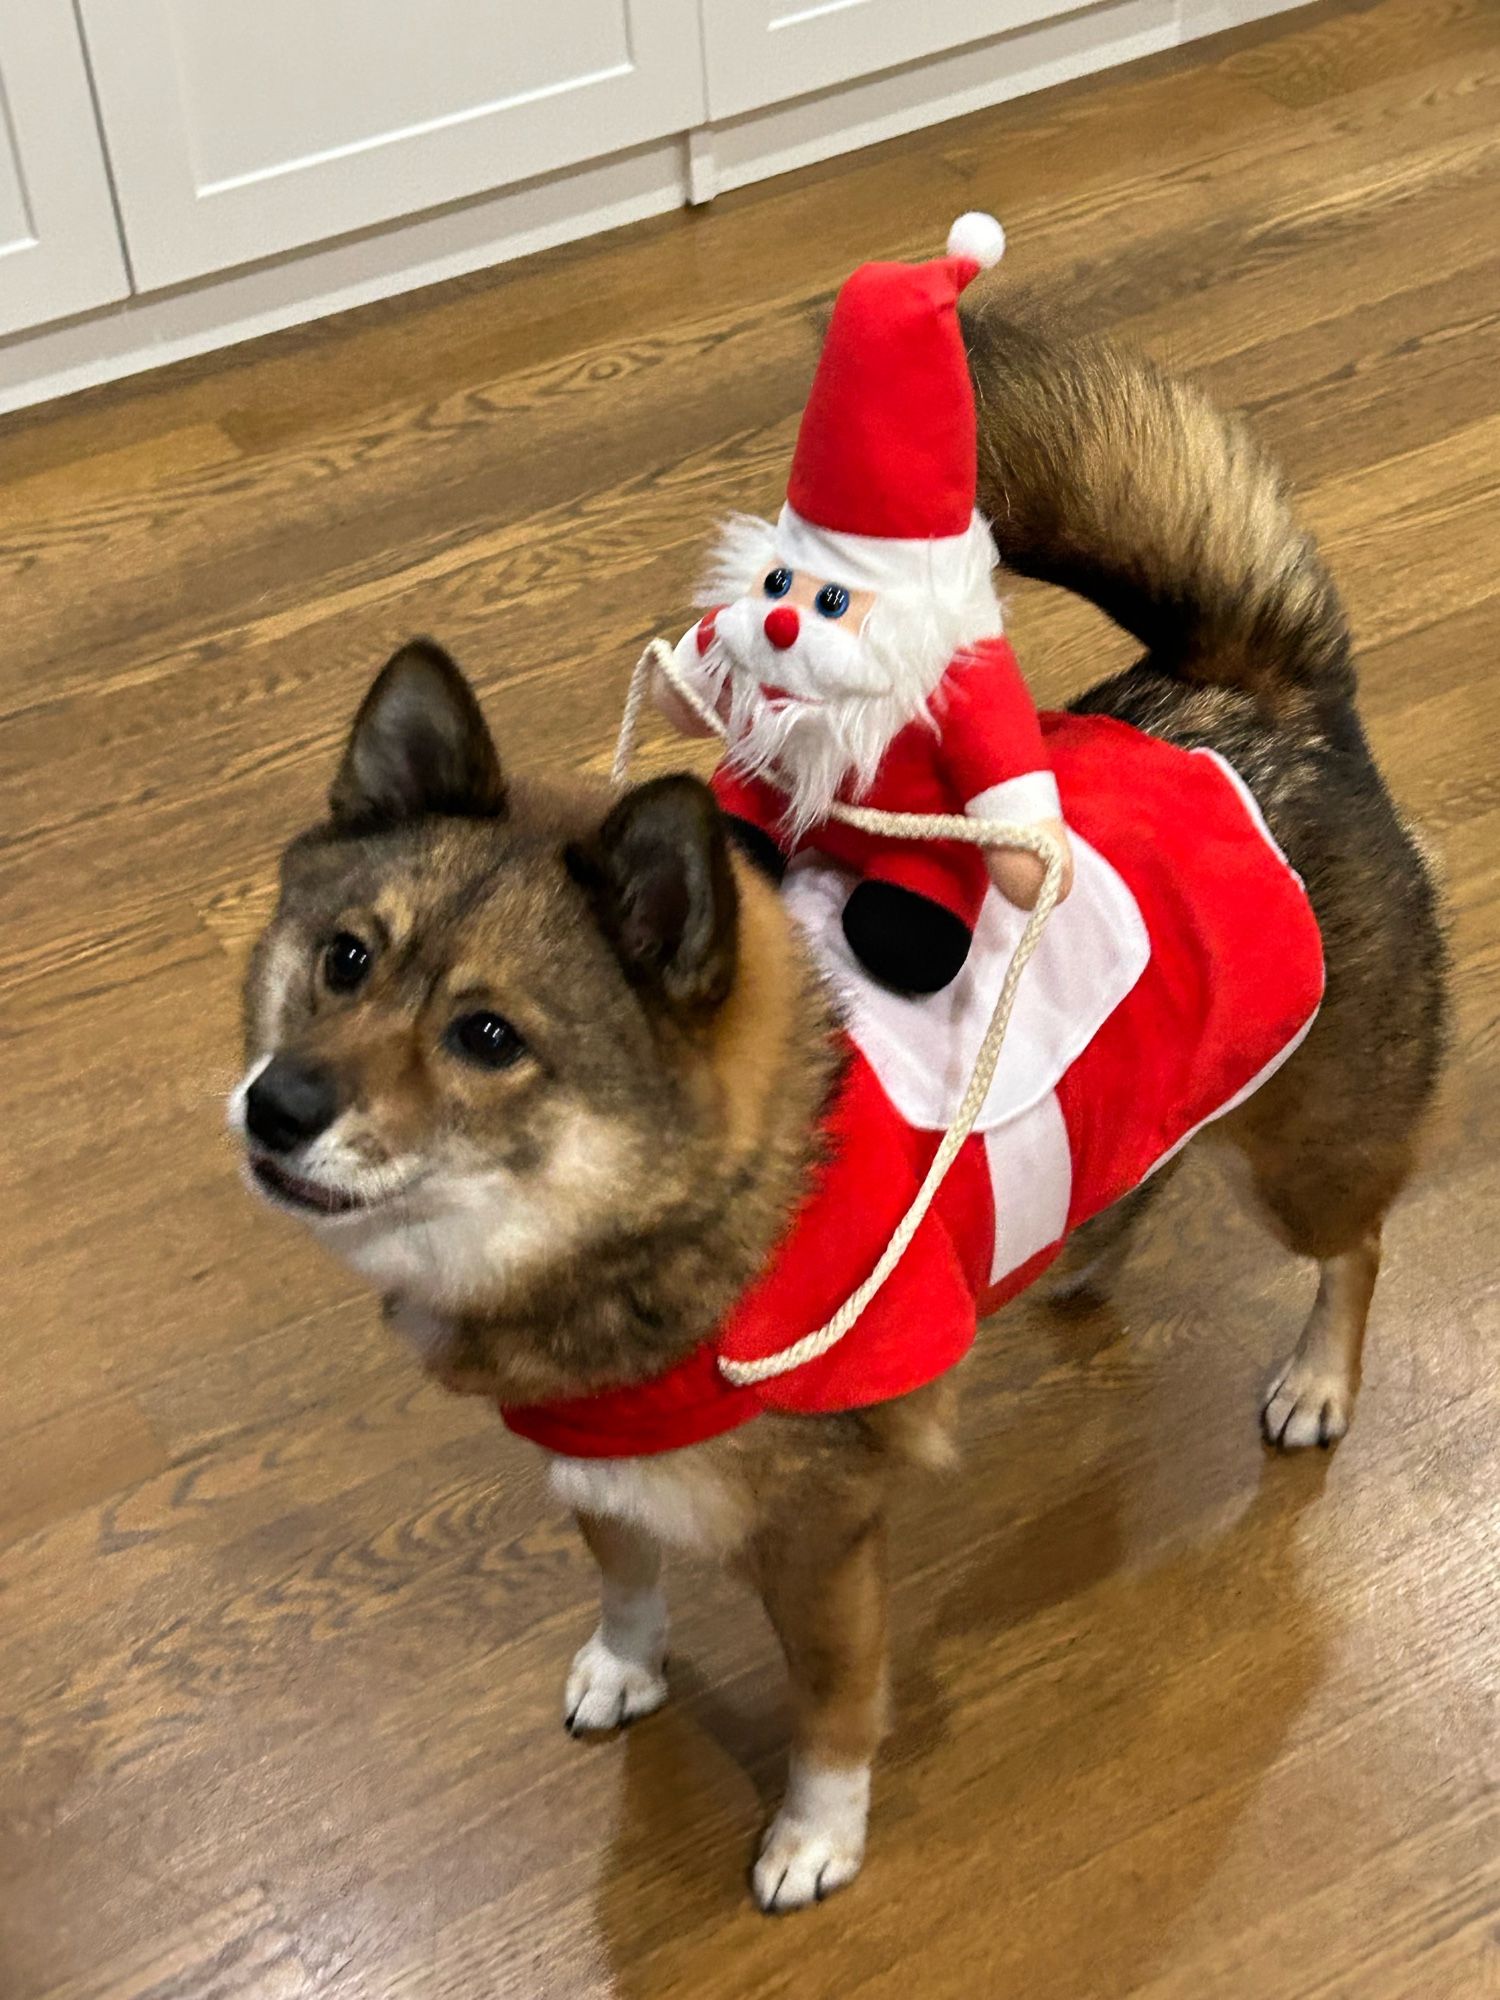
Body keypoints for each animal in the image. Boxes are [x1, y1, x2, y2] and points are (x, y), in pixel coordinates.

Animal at [229, 304, 1448, 1912]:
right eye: (344, 959)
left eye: (490, 1037)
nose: (277, 1105)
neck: (690, 1224)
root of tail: (1256, 691)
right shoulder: (596, 1465)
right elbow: (628, 1584)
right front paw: (626, 1666)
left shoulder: (821, 1539)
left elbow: (829, 1703)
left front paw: (816, 1830)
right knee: (1151, 1166)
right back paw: (1088, 1251)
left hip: (1305, 1148)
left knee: (1354, 1245)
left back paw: (1316, 1378)